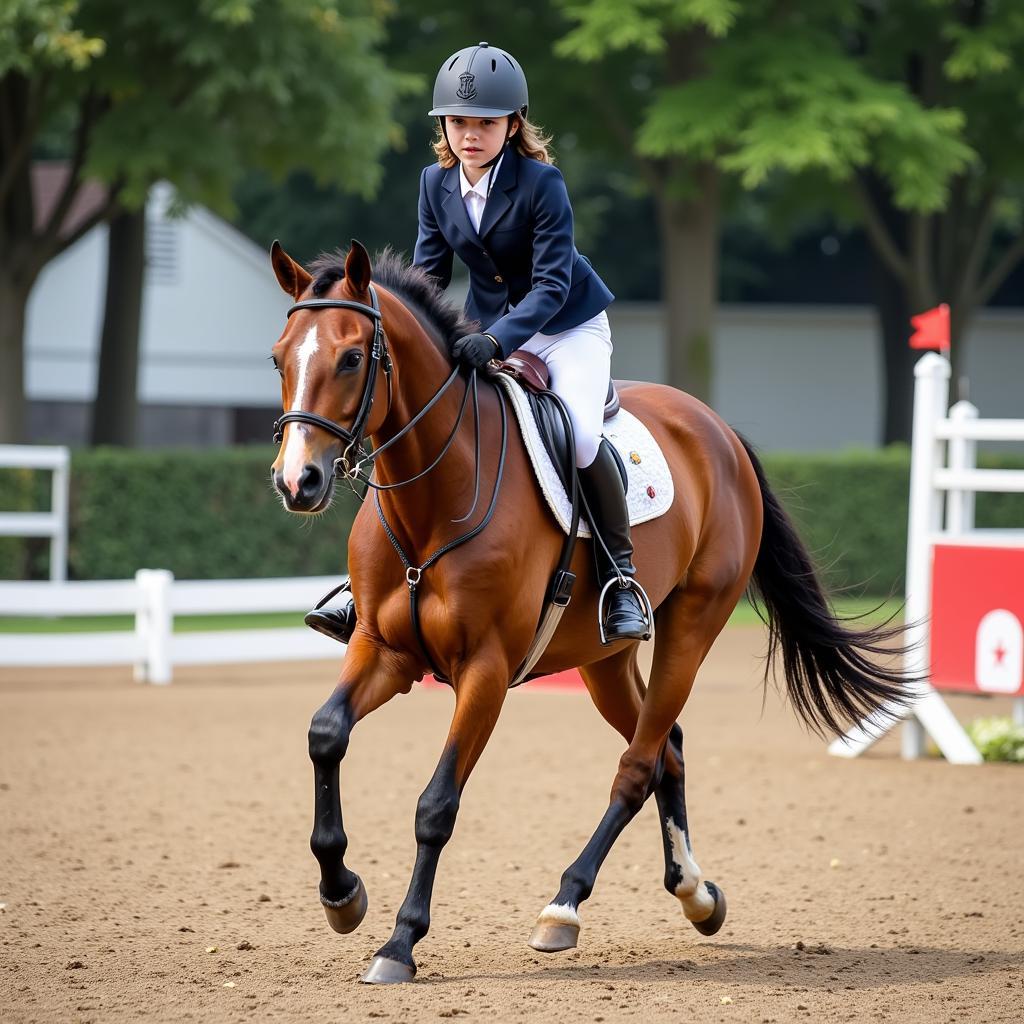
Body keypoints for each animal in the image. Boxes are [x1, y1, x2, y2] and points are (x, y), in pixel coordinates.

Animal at [266, 237, 905, 983]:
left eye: (350, 358)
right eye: (279, 358)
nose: (297, 482)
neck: (432, 499)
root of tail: (715, 428)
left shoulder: (485, 672)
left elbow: (436, 804)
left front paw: (400, 942)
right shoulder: (385, 650)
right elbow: (325, 734)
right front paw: (342, 894)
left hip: (691, 626)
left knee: (637, 766)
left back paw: (563, 907)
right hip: (604, 659)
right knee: (665, 748)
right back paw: (695, 894)